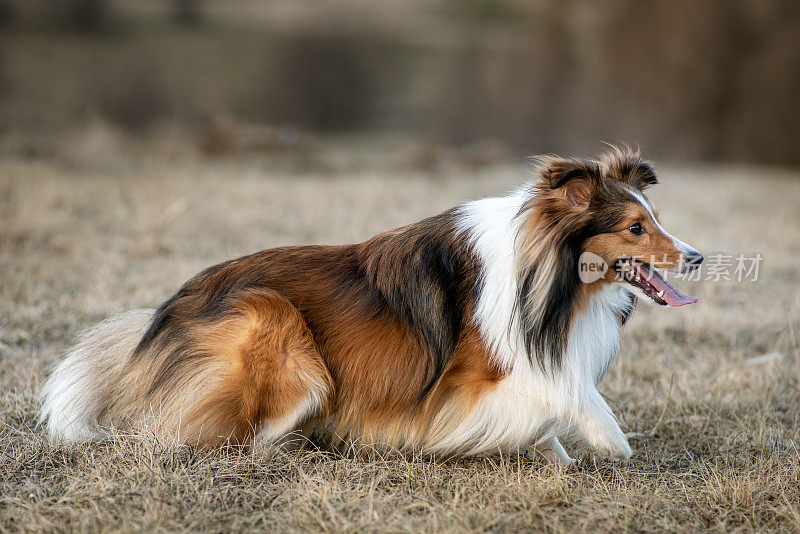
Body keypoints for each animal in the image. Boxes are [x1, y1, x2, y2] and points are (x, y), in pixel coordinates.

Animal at [39, 149, 700, 466]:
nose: (695, 257)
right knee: (223, 437)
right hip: (276, 330)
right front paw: (607, 439)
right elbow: (564, 389)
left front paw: (557, 450)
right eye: (636, 227)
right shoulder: (462, 386)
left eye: (656, 217)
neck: (544, 274)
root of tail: (159, 319)